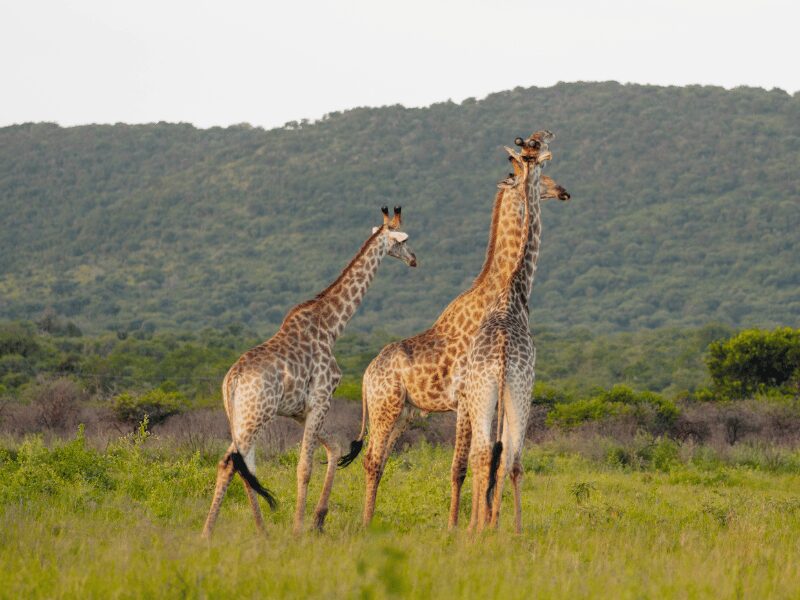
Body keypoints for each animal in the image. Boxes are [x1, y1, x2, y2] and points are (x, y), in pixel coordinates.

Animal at [202, 207, 416, 537]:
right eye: (404, 241)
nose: (414, 259)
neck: (332, 326)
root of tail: (231, 381)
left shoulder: (300, 410)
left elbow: (335, 447)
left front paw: (318, 519)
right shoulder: (321, 400)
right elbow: (304, 467)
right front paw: (299, 527)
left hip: (239, 417)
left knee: (241, 464)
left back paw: (261, 531)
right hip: (255, 415)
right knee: (230, 462)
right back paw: (208, 532)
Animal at [338, 141, 569, 527]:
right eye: (542, 176)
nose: (564, 191)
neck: (497, 288)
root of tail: (367, 375)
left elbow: (491, 457)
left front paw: (485, 519)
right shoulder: (465, 398)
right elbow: (461, 465)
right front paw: (457, 525)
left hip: (403, 412)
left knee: (378, 460)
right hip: (386, 407)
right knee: (371, 459)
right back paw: (365, 523)